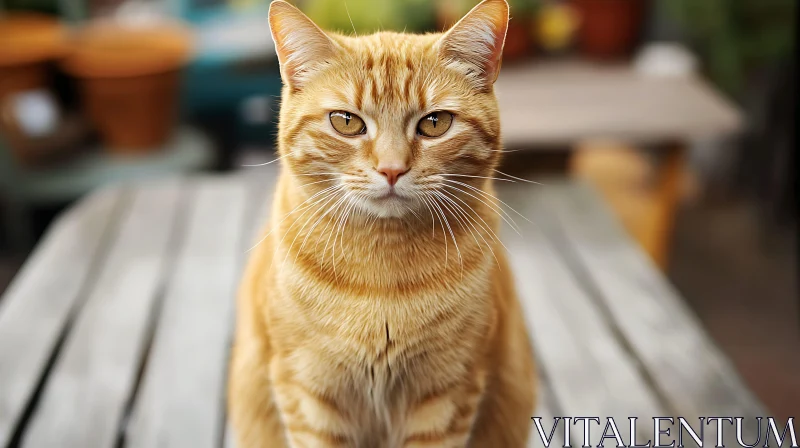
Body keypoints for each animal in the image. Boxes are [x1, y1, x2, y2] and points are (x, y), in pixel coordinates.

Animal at [228, 1, 536, 446]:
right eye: (346, 121)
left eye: (435, 123)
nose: (392, 169)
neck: (381, 278)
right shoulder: (307, 393)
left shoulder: (447, 397)